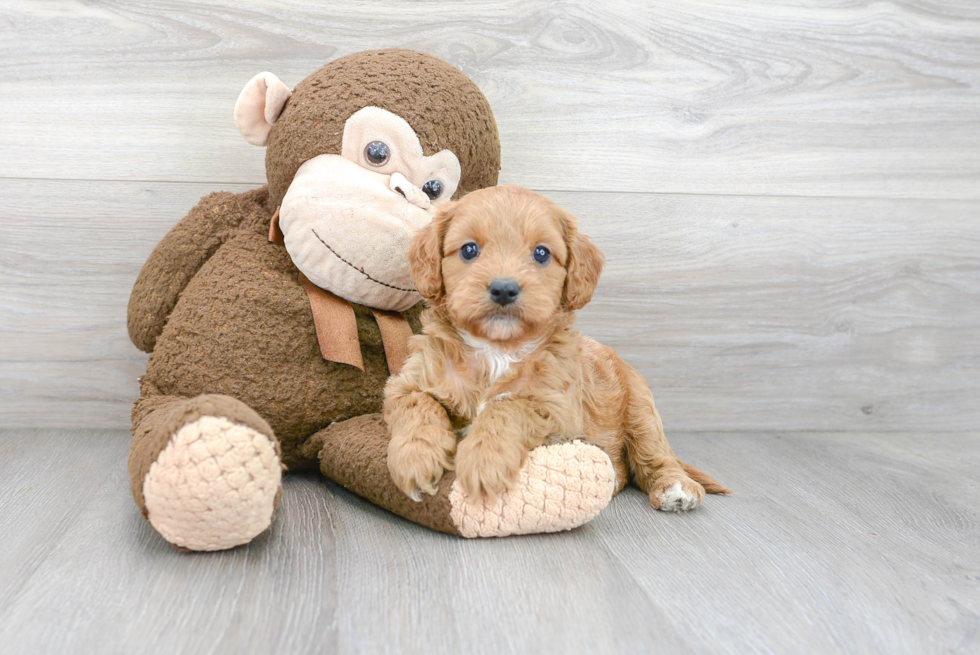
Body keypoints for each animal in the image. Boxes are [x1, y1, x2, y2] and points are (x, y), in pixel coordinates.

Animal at [382, 187, 728, 510]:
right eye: (469, 250)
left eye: (541, 253)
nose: (504, 289)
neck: (497, 349)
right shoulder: (405, 384)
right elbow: (419, 402)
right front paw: (415, 457)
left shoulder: (558, 412)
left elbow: (507, 407)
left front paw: (484, 461)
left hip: (641, 411)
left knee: (653, 458)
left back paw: (675, 488)